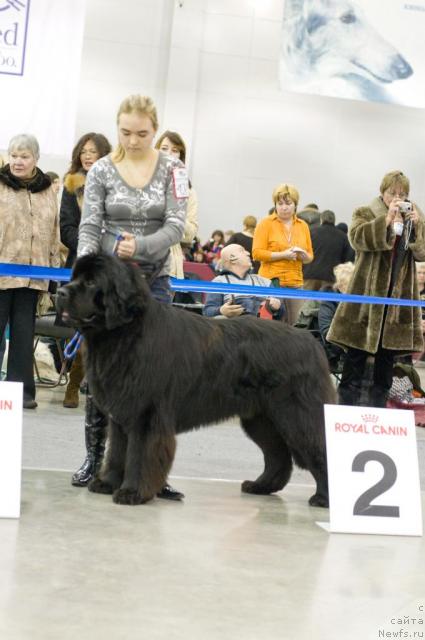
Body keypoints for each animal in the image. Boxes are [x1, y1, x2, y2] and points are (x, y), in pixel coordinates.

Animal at [57, 252, 334, 508]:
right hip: (261, 419)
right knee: (278, 456)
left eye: (91, 282)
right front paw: (107, 483)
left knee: (319, 448)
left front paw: (132, 492)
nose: (60, 292)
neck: (125, 333)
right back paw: (260, 486)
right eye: (75, 278)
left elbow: (138, 454)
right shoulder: (122, 414)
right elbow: (117, 451)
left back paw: (323, 498)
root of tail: (312, 343)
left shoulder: (146, 415)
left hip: (297, 415)